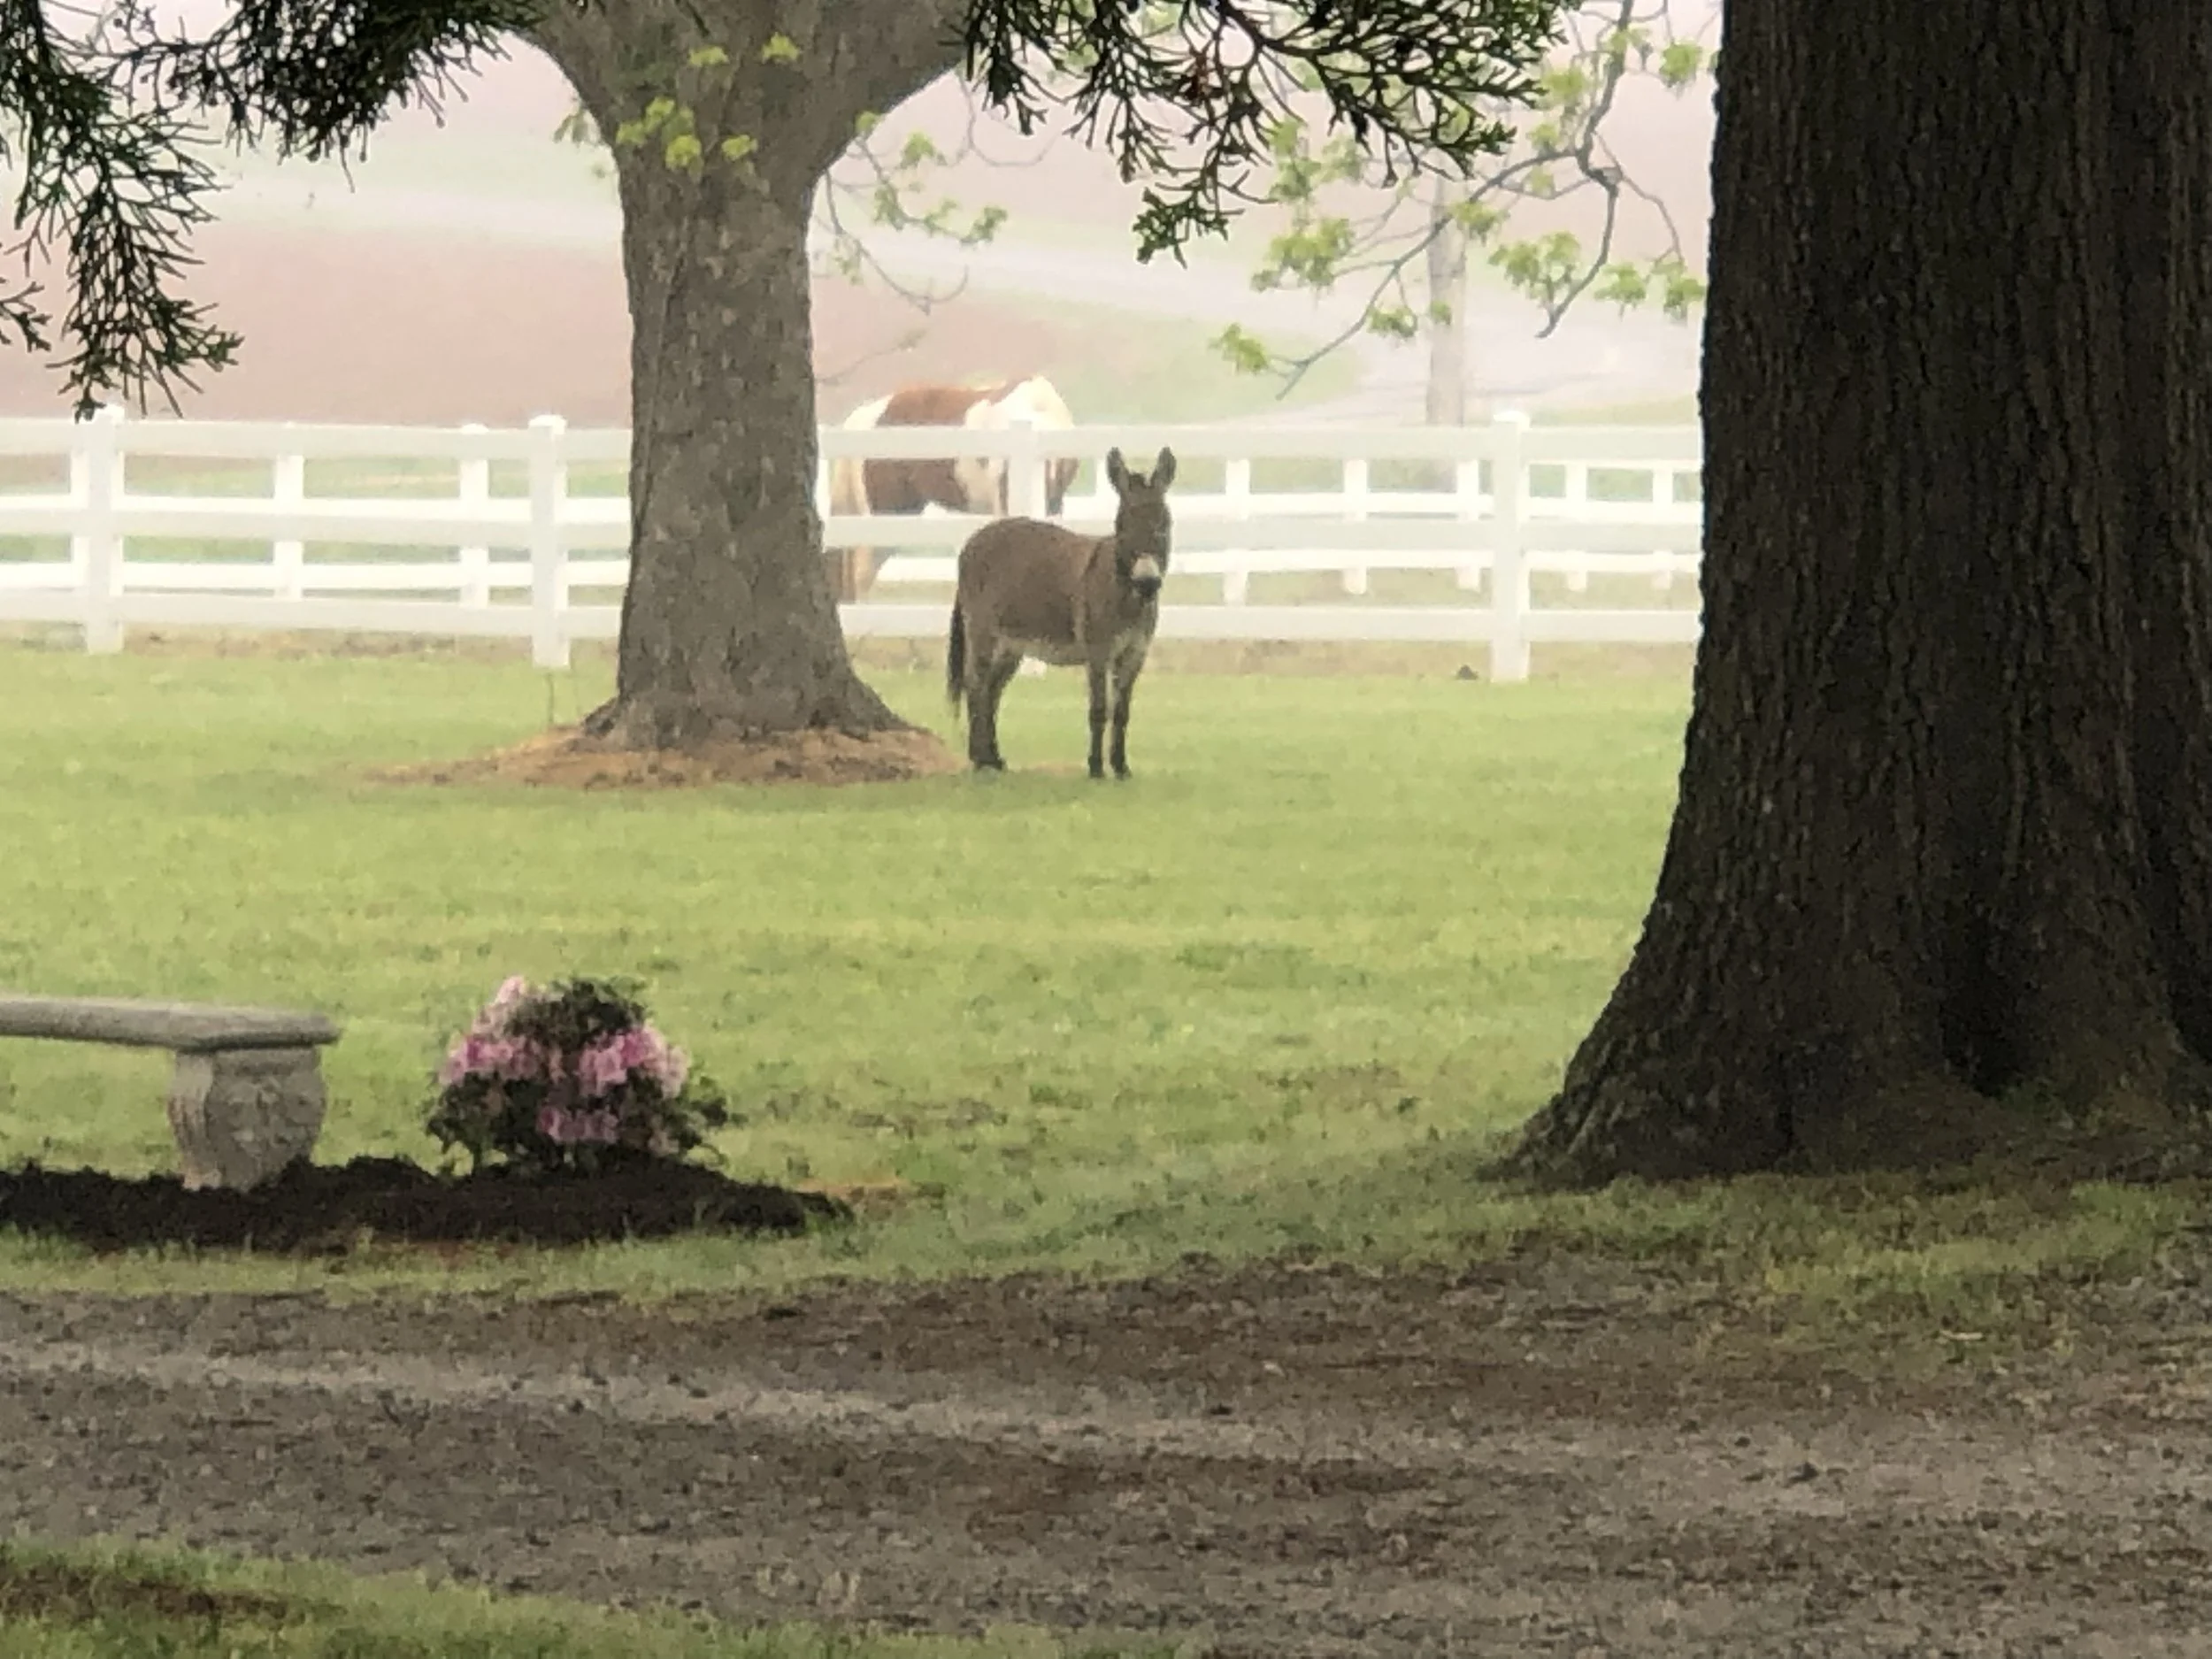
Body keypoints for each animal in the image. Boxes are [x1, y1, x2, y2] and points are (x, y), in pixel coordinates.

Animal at [945, 445, 1177, 780]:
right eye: (1122, 528)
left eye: (1164, 527)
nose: (1147, 582)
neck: (1128, 600)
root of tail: (975, 538)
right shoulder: (1098, 652)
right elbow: (1099, 709)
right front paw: (1096, 768)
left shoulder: (1135, 654)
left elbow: (1122, 712)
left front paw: (1121, 768)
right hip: (983, 632)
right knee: (974, 686)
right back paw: (978, 760)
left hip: (1011, 645)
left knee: (992, 691)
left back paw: (993, 758)